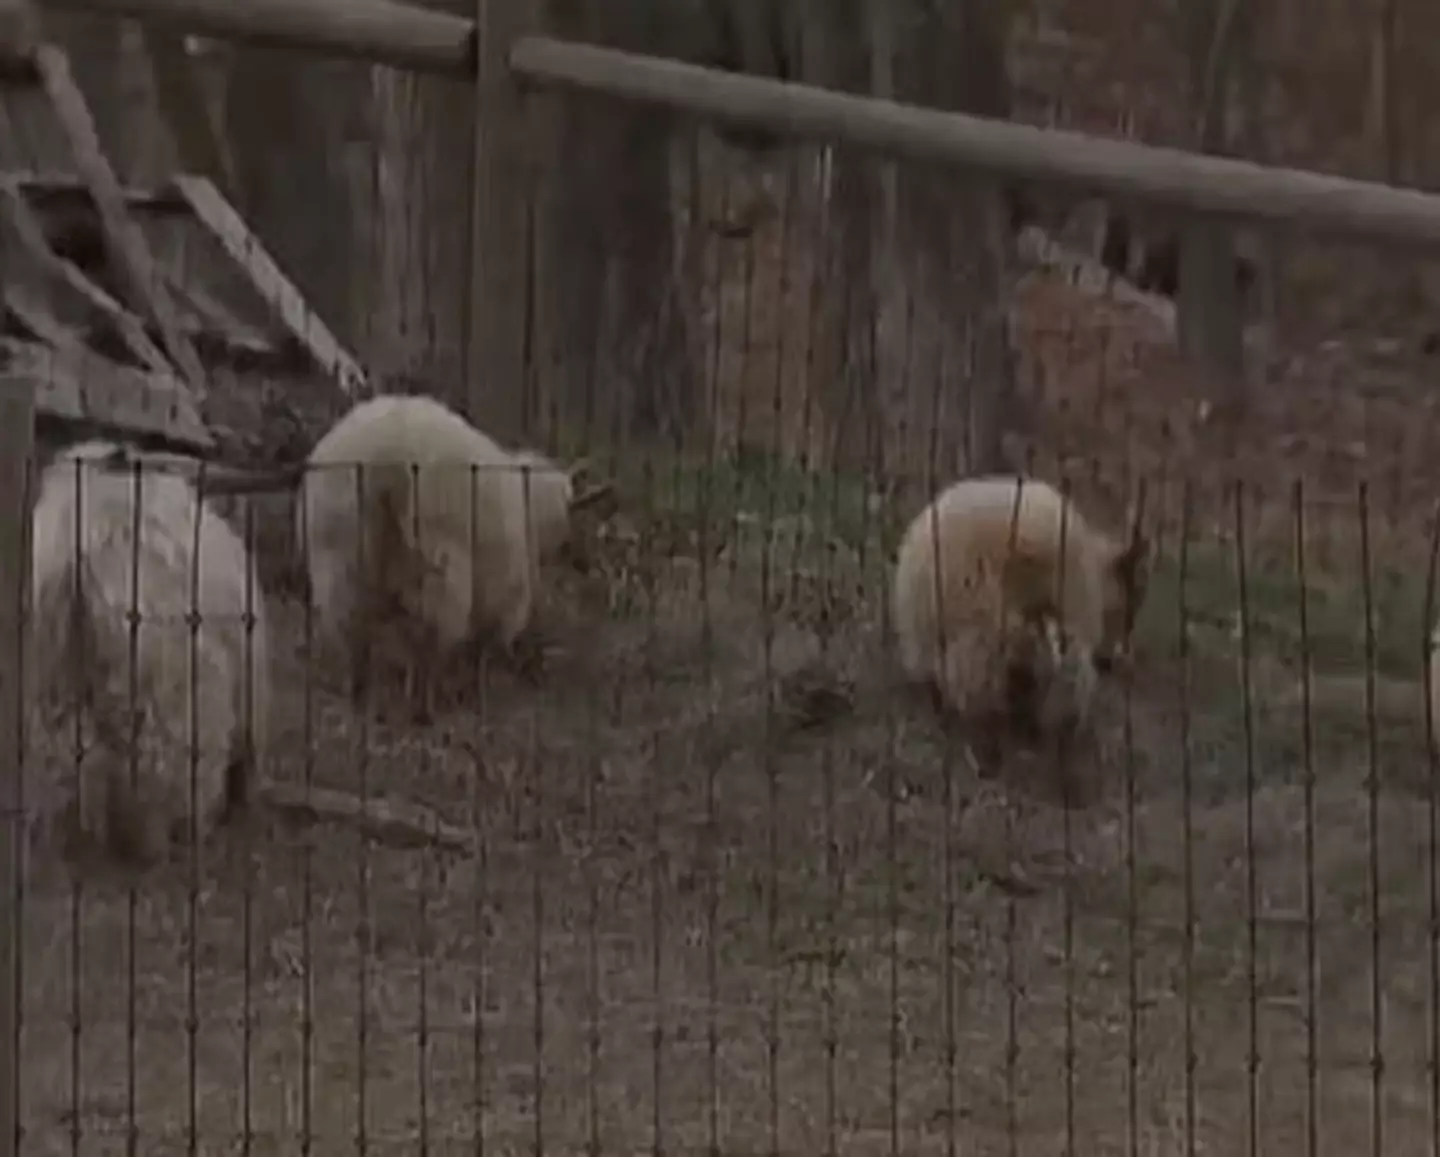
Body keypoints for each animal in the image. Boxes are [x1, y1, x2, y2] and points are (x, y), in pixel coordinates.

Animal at [298, 394, 596, 711]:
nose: (583, 561)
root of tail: (385, 457)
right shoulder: (505, 597)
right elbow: (484, 649)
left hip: (338, 556)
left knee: (351, 627)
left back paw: (358, 691)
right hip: (440, 562)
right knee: (430, 634)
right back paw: (424, 703)